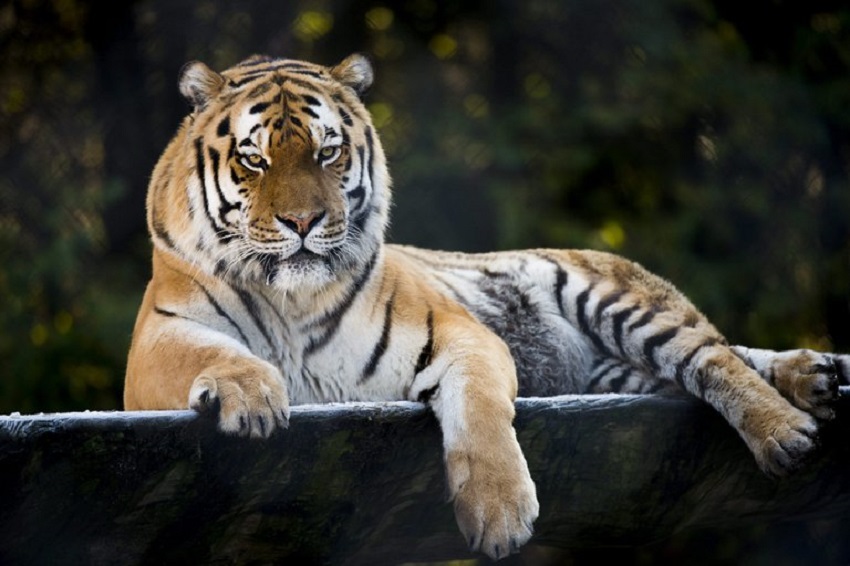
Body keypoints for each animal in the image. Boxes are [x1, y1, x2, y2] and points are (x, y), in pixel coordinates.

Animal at [126, 54, 848, 564]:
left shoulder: (461, 334)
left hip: (618, 298)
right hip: (619, 371)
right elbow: (212, 352)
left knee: (714, 357)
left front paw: (500, 516)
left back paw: (788, 427)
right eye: (254, 159)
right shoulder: (156, 346)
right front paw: (251, 397)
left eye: (328, 151)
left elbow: (477, 411)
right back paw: (817, 377)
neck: (292, 299)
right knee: (720, 359)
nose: (303, 222)